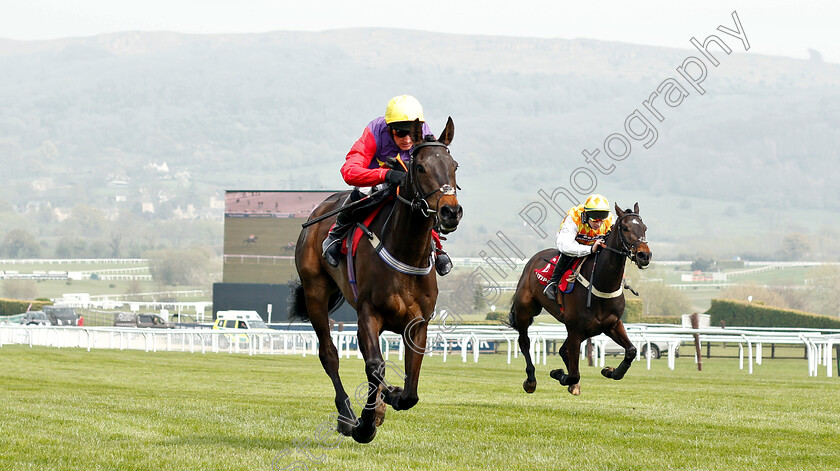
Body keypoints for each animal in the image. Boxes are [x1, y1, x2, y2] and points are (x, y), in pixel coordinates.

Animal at [288, 117, 460, 442]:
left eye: (454, 165)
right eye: (420, 167)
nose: (450, 211)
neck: (406, 253)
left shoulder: (418, 322)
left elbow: (410, 388)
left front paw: (389, 397)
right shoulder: (369, 312)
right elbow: (375, 366)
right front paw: (366, 422)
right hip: (315, 291)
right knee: (329, 354)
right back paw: (346, 415)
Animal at [508, 205, 652, 396]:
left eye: (644, 228)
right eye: (625, 228)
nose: (644, 255)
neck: (601, 284)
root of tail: (534, 259)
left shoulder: (612, 324)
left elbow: (631, 351)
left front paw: (610, 371)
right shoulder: (575, 330)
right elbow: (574, 374)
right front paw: (559, 374)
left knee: (563, 349)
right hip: (525, 310)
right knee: (525, 342)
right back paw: (531, 380)